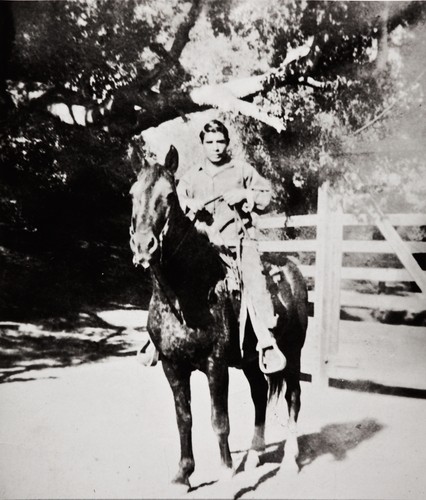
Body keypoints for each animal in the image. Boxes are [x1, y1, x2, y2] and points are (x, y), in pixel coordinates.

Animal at [128, 145, 308, 488]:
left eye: (169, 195)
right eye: (132, 193)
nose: (144, 245)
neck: (184, 295)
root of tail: (292, 268)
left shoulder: (216, 364)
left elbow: (219, 420)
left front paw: (226, 473)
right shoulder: (173, 366)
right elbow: (183, 419)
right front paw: (183, 473)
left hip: (292, 354)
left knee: (293, 398)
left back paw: (291, 460)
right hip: (250, 362)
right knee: (260, 396)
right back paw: (253, 456)